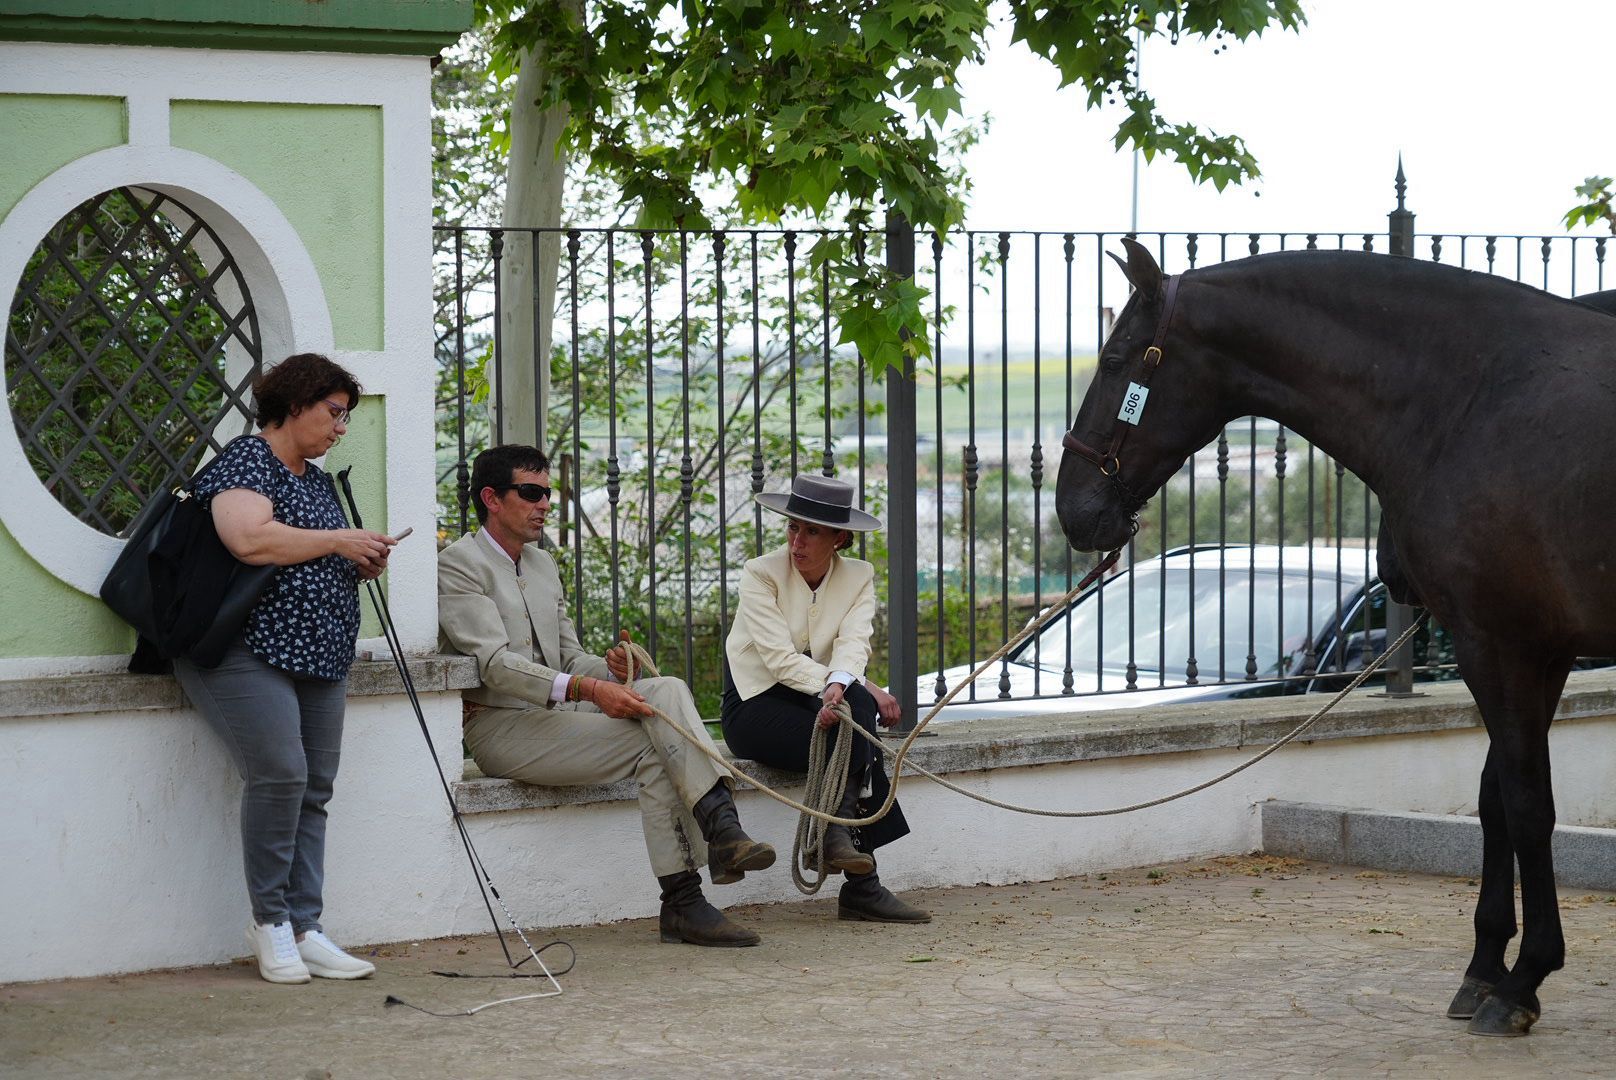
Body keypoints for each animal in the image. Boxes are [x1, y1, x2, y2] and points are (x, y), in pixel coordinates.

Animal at [1053, 237, 1616, 1034]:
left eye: (1114, 357)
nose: (1073, 508)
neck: (1473, 399)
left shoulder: (1498, 644)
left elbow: (1529, 806)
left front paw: (1523, 979)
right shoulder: (1543, 651)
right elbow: (1495, 800)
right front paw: (1485, 967)